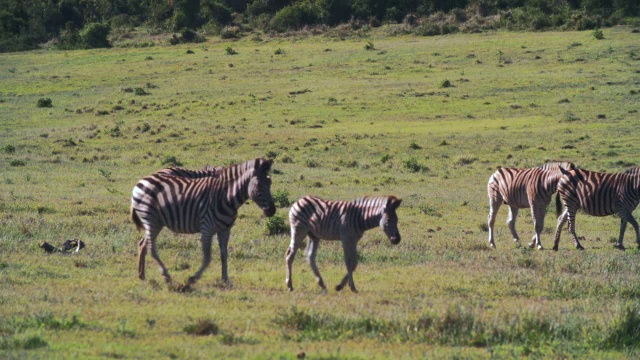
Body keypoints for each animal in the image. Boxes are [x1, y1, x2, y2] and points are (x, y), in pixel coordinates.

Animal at [130, 159, 276, 288]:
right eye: (259, 185)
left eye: (270, 183)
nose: (272, 210)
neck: (226, 196)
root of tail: (143, 180)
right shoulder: (206, 228)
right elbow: (207, 258)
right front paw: (192, 279)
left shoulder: (225, 230)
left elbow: (224, 255)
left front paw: (225, 280)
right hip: (151, 218)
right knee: (151, 247)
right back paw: (166, 276)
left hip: (157, 222)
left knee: (143, 243)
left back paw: (142, 275)